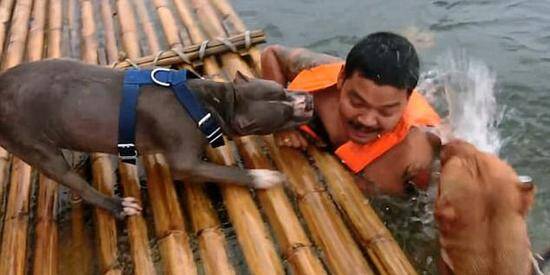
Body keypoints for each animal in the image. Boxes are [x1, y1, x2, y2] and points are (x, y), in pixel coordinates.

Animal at [0, 58, 312, 220]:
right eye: (284, 114)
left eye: (282, 89)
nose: (308, 100)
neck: (214, 103)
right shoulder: (185, 163)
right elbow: (228, 172)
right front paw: (264, 177)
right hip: (31, 142)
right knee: (75, 182)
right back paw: (117, 206)